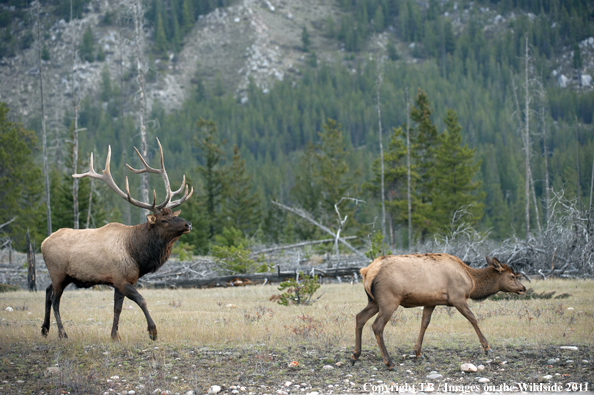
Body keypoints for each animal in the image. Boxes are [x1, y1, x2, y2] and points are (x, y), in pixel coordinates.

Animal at [42, 138, 194, 340]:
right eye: (163, 220)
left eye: (173, 215)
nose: (188, 225)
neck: (137, 253)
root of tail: (43, 242)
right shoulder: (121, 279)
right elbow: (141, 300)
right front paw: (153, 331)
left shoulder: (120, 281)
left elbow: (117, 308)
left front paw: (114, 335)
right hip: (57, 272)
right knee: (55, 299)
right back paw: (62, 333)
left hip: (63, 275)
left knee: (47, 291)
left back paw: (44, 329)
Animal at [350, 254, 524, 372]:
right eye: (512, 276)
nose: (523, 288)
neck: (472, 283)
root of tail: (366, 271)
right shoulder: (457, 298)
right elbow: (473, 318)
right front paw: (487, 347)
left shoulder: (430, 302)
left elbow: (424, 324)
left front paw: (418, 352)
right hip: (389, 300)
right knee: (377, 326)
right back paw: (389, 363)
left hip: (374, 301)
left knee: (360, 317)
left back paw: (355, 356)